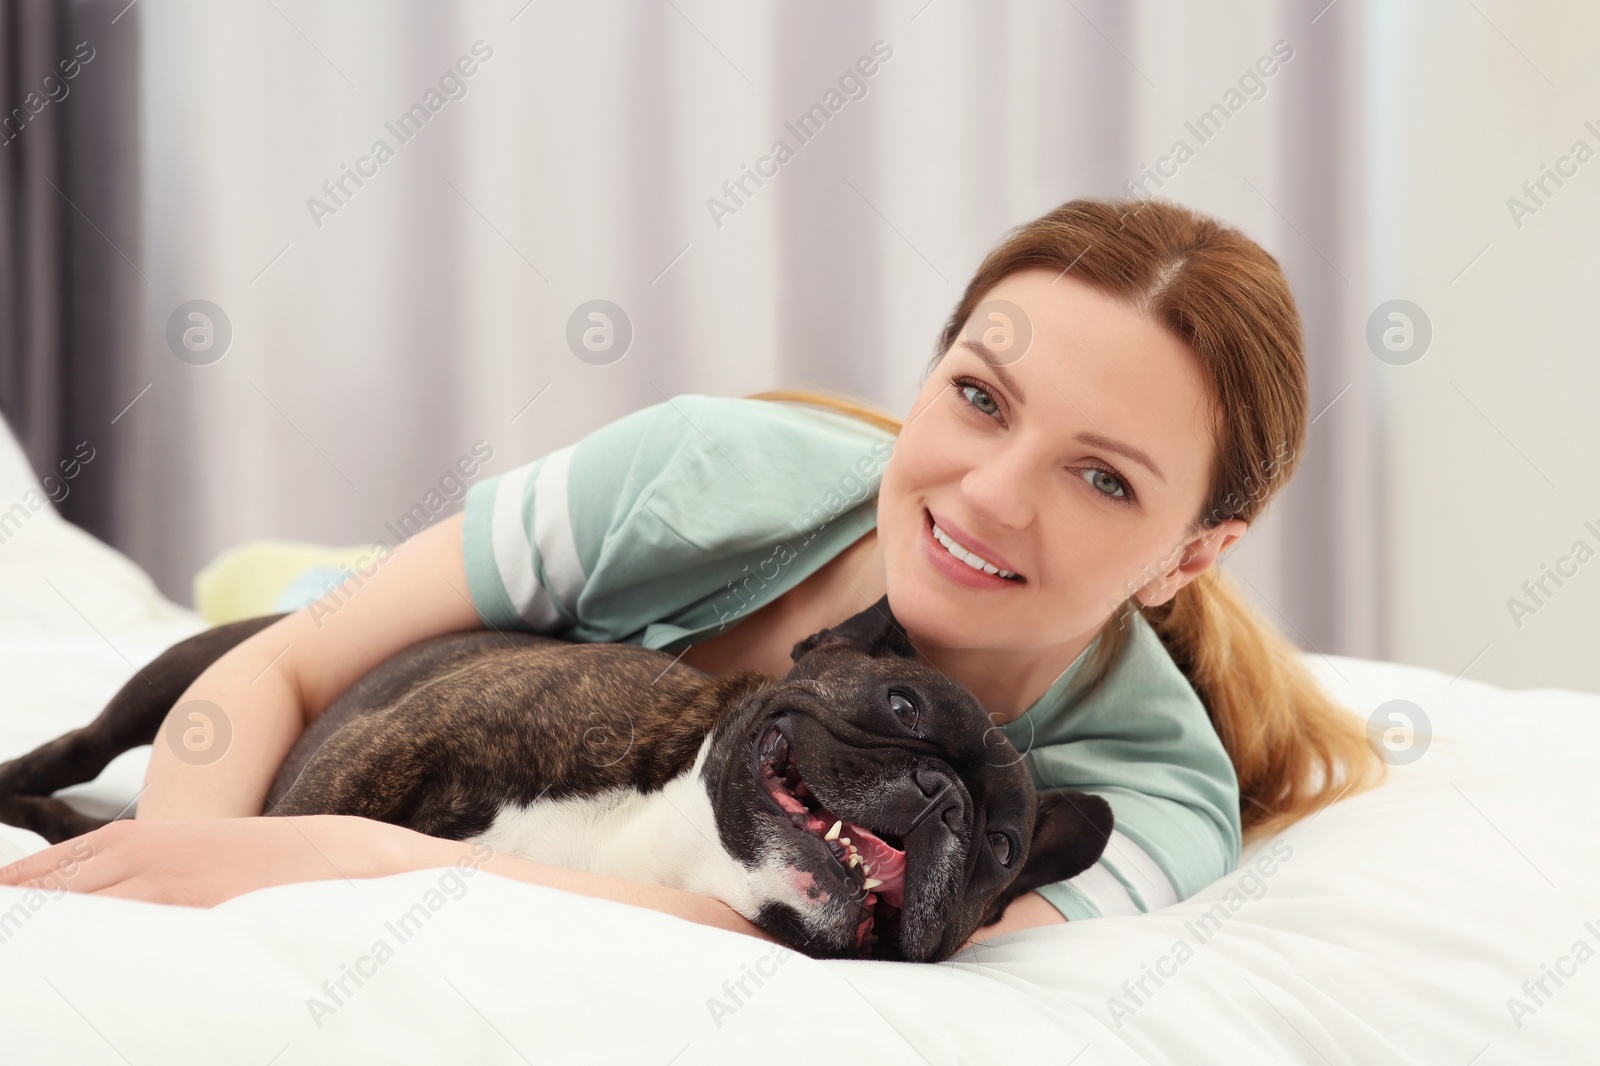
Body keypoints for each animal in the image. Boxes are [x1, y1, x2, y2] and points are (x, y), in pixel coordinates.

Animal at [0, 592, 1107, 960]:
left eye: (1000, 847)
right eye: (904, 707)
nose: (944, 800)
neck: (675, 837)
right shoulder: (399, 741)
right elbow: (285, 830)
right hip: (178, 684)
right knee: (83, 746)